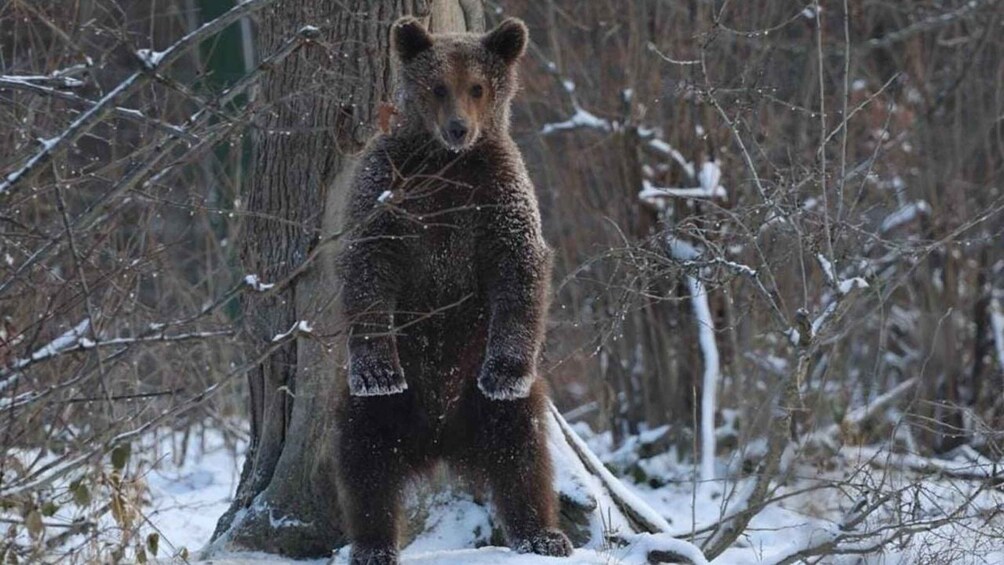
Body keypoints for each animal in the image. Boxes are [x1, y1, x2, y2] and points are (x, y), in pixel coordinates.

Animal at [334, 15, 573, 565]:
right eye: (437, 86)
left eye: (478, 86)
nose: (459, 128)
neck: (447, 164)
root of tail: (442, 437)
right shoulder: (390, 189)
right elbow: (367, 262)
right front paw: (377, 370)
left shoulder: (496, 192)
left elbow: (520, 266)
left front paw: (505, 372)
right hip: (389, 398)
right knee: (365, 460)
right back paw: (373, 544)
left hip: (477, 384)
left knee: (523, 452)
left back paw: (543, 534)